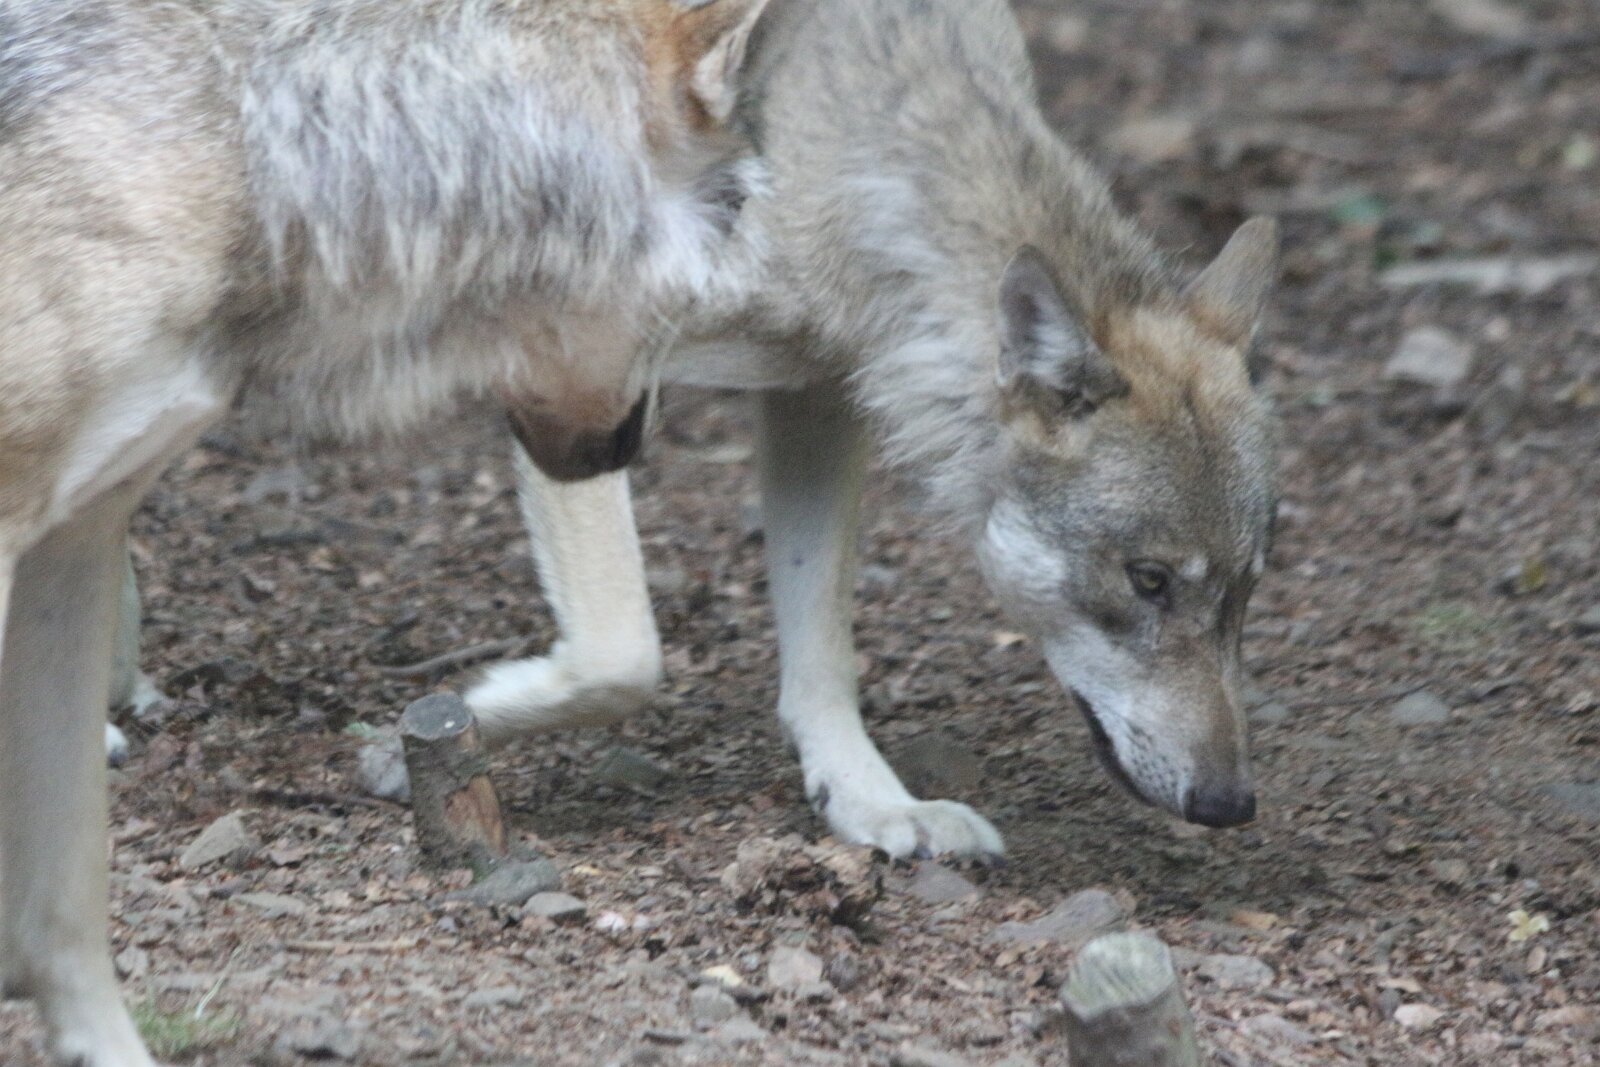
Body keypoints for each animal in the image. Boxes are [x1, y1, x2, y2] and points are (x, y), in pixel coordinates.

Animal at [458, 0, 1280, 861]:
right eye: (1148, 579)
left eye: (1249, 586)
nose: (1229, 803)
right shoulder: (570, 365)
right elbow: (625, 657)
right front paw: (467, 707)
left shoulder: (815, 396)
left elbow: (823, 645)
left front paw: (872, 802)